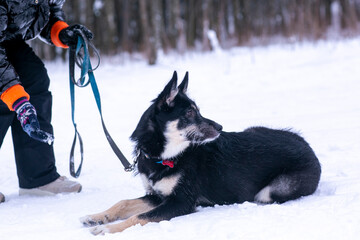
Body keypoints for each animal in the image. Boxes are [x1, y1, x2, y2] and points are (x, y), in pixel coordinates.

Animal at [80, 71, 322, 234]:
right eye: (189, 112)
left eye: (198, 111)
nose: (220, 127)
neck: (164, 157)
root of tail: (309, 147)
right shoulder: (157, 196)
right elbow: (123, 203)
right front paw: (96, 217)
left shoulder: (180, 201)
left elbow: (139, 217)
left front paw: (108, 229)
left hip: (271, 191)